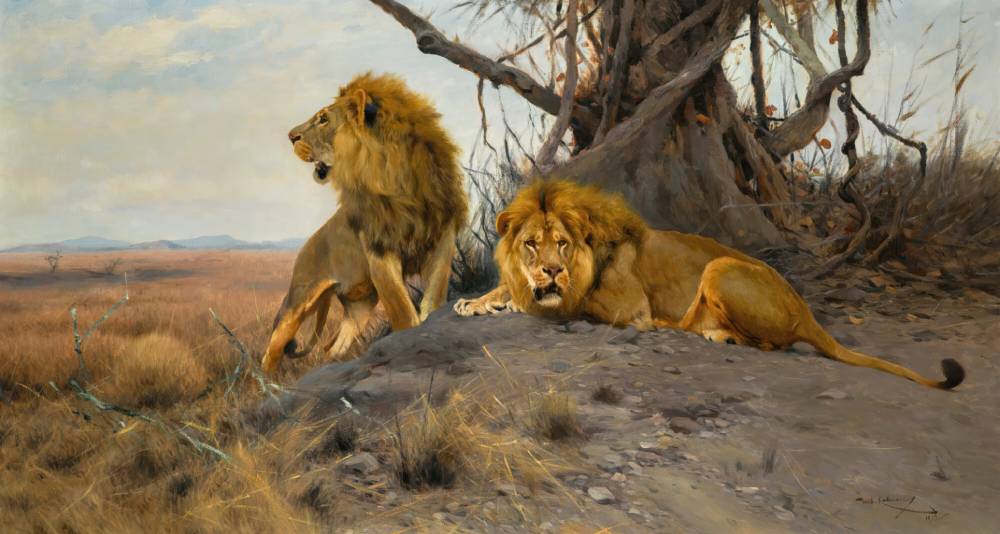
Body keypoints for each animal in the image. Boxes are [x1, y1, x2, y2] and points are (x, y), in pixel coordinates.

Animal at [262, 73, 468, 374]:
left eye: (323, 119)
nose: (291, 137)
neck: (397, 175)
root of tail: (309, 242)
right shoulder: (379, 251)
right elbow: (402, 311)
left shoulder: (442, 239)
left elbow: (433, 299)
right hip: (299, 299)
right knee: (272, 350)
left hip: (359, 305)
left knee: (333, 348)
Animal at [455, 180, 965, 390]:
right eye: (531, 244)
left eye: (561, 244)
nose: (551, 271)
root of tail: (805, 307)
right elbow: (507, 290)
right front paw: (477, 302)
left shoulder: (627, 307)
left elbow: (566, 305)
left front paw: (522, 302)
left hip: (718, 268)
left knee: (769, 344)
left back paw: (705, 331)